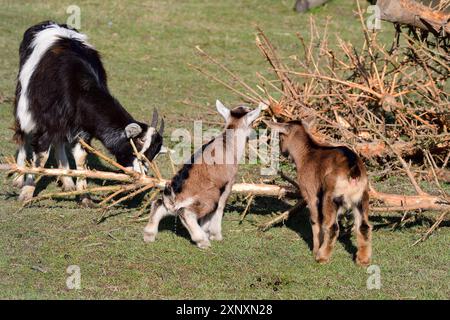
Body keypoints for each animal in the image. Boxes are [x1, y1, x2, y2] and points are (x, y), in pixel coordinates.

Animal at [11, 21, 163, 205]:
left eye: (153, 154)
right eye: (138, 144)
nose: (142, 177)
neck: (79, 88)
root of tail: (46, 23)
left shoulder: (81, 130)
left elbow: (81, 159)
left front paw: (84, 197)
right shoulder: (48, 123)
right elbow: (41, 158)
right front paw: (26, 193)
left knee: (59, 141)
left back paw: (67, 181)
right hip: (23, 102)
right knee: (23, 134)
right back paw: (18, 177)